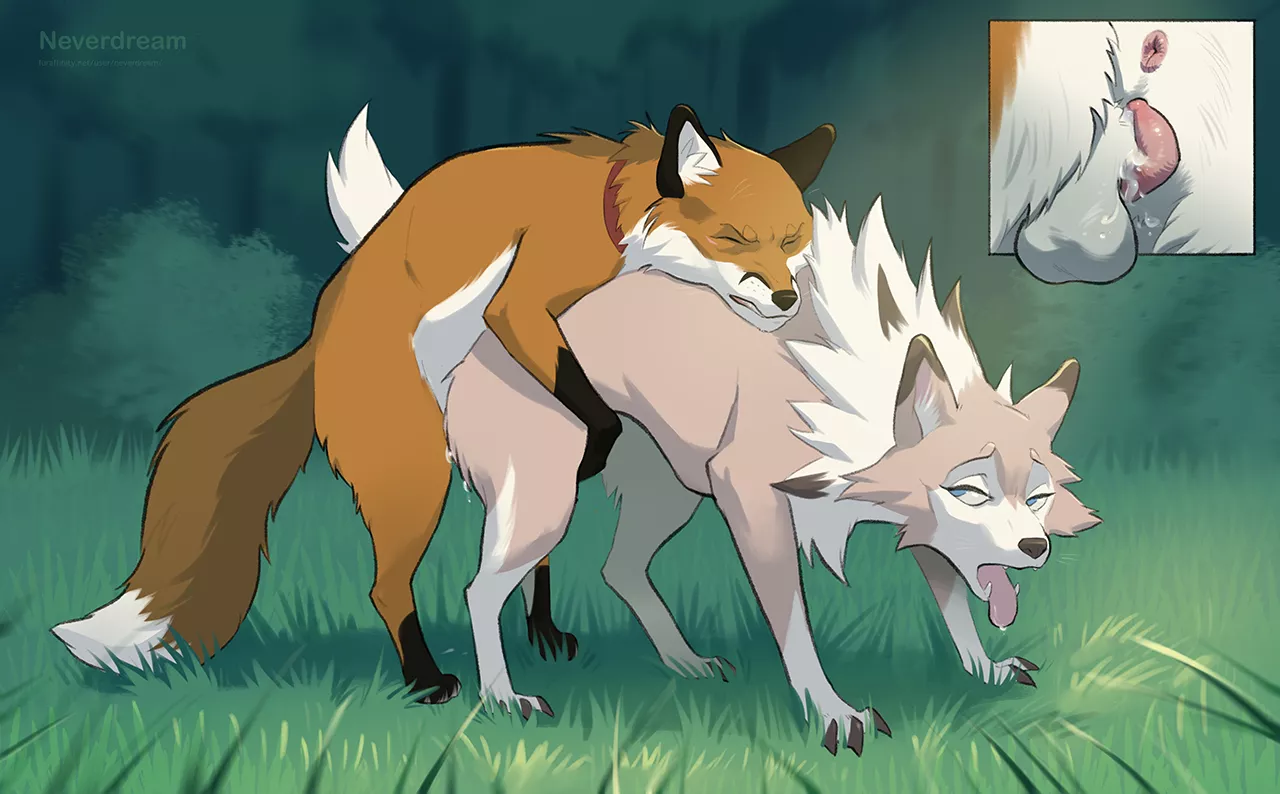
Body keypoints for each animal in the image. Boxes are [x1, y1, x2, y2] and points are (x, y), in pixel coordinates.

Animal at [49, 103, 837, 705]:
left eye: (792, 239)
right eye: (733, 238)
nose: (785, 297)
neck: (617, 208)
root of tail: (317, 344)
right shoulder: (526, 301)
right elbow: (596, 413)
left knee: (520, 542)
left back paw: (539, 633)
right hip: (416, 477)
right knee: (387, 587)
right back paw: (427, 679)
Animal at [424, 195, 1102, 754]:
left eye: (1037, 498)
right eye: (970, 491)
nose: (1034, 549)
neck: (850, 393)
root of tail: (464, 360)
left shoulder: (924, 529)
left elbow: (957, 603)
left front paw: (985, 669)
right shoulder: (749, 494)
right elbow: (794, 623)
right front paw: (833, 712)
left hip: (669, 495)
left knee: (618, 569)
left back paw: (686, 663)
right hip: (550, 507)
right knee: (480, 590)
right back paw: (503, 699)